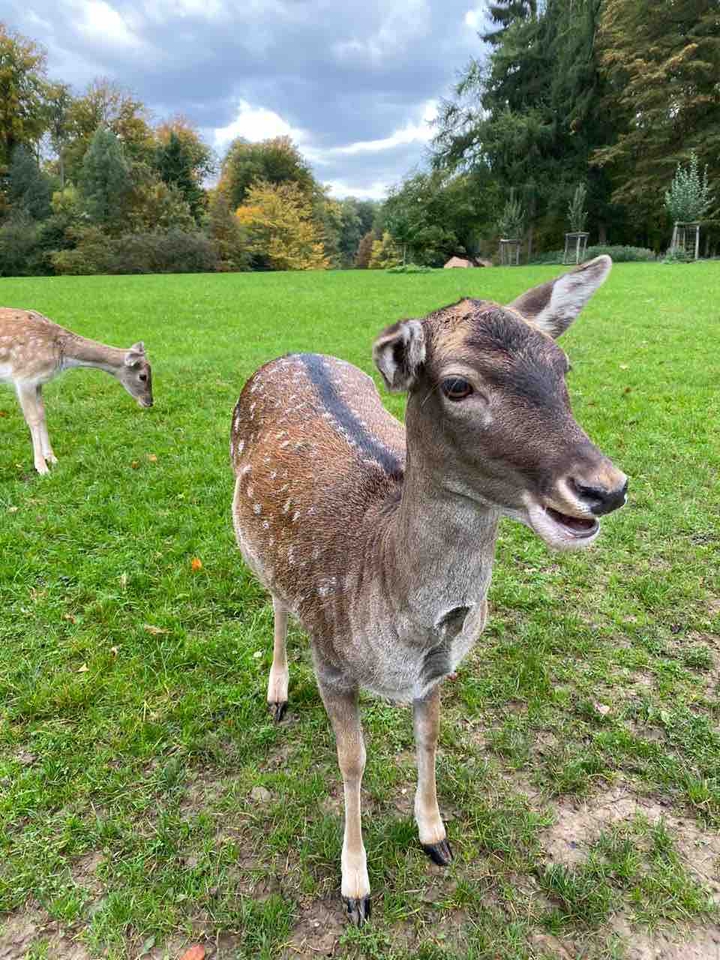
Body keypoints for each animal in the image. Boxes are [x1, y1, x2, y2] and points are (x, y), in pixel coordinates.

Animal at [0, 308, 153, 475]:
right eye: (143, 376)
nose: (149, 402)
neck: (62, 355)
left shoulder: (38, 381)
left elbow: (42, 415)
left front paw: (52, 458)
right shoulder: (23, 378)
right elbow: (33, 419)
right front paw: (42, 468)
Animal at [230, 256, 627, 925]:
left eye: (563, 367)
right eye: (457, 386)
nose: (607, 488)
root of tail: (294, 352)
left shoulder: (439, 670)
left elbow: (430, 737)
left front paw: (434, 836)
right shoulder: (331, 661)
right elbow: (353, 762)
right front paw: (355, 887)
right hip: (253, 546)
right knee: (278, 602)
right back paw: (277, 692)